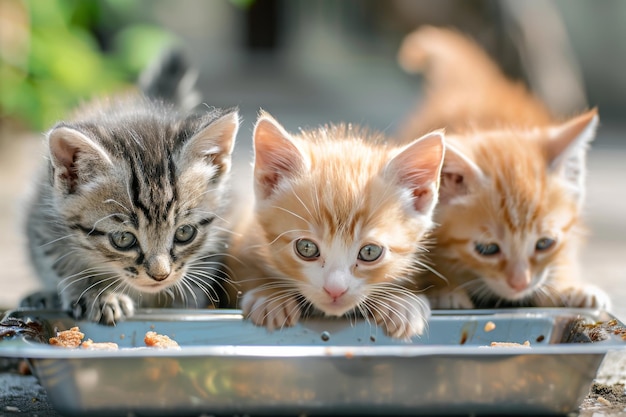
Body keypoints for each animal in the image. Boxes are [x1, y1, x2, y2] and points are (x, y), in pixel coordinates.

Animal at [25, 50, 239, 324]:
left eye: (185, 232)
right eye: (123, 238)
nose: (160, 275)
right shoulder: (43, 223)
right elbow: (60, 260)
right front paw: (96, 294)